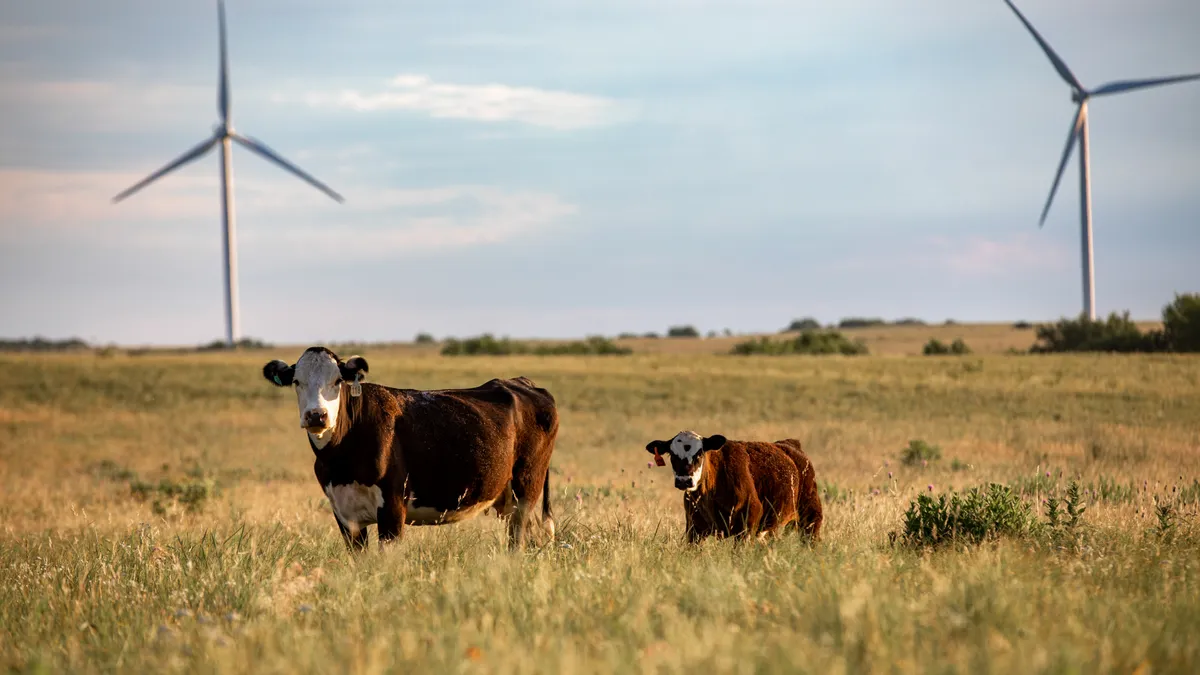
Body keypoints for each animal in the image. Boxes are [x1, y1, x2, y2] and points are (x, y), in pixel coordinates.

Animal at [262, 345, 556, 547]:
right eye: (297, 382)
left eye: (337, 381)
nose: (316, 415)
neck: (342, 460)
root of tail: (521, 382)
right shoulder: (345, 515)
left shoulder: (392, 508)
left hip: (526, 488)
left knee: (517, 540)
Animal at [648, 429, 825, 540]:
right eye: (672, 455)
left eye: (699, 454)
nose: (684, 480)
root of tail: (790, 445)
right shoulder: (694, 528)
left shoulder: (748, 522)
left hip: (810, 517)